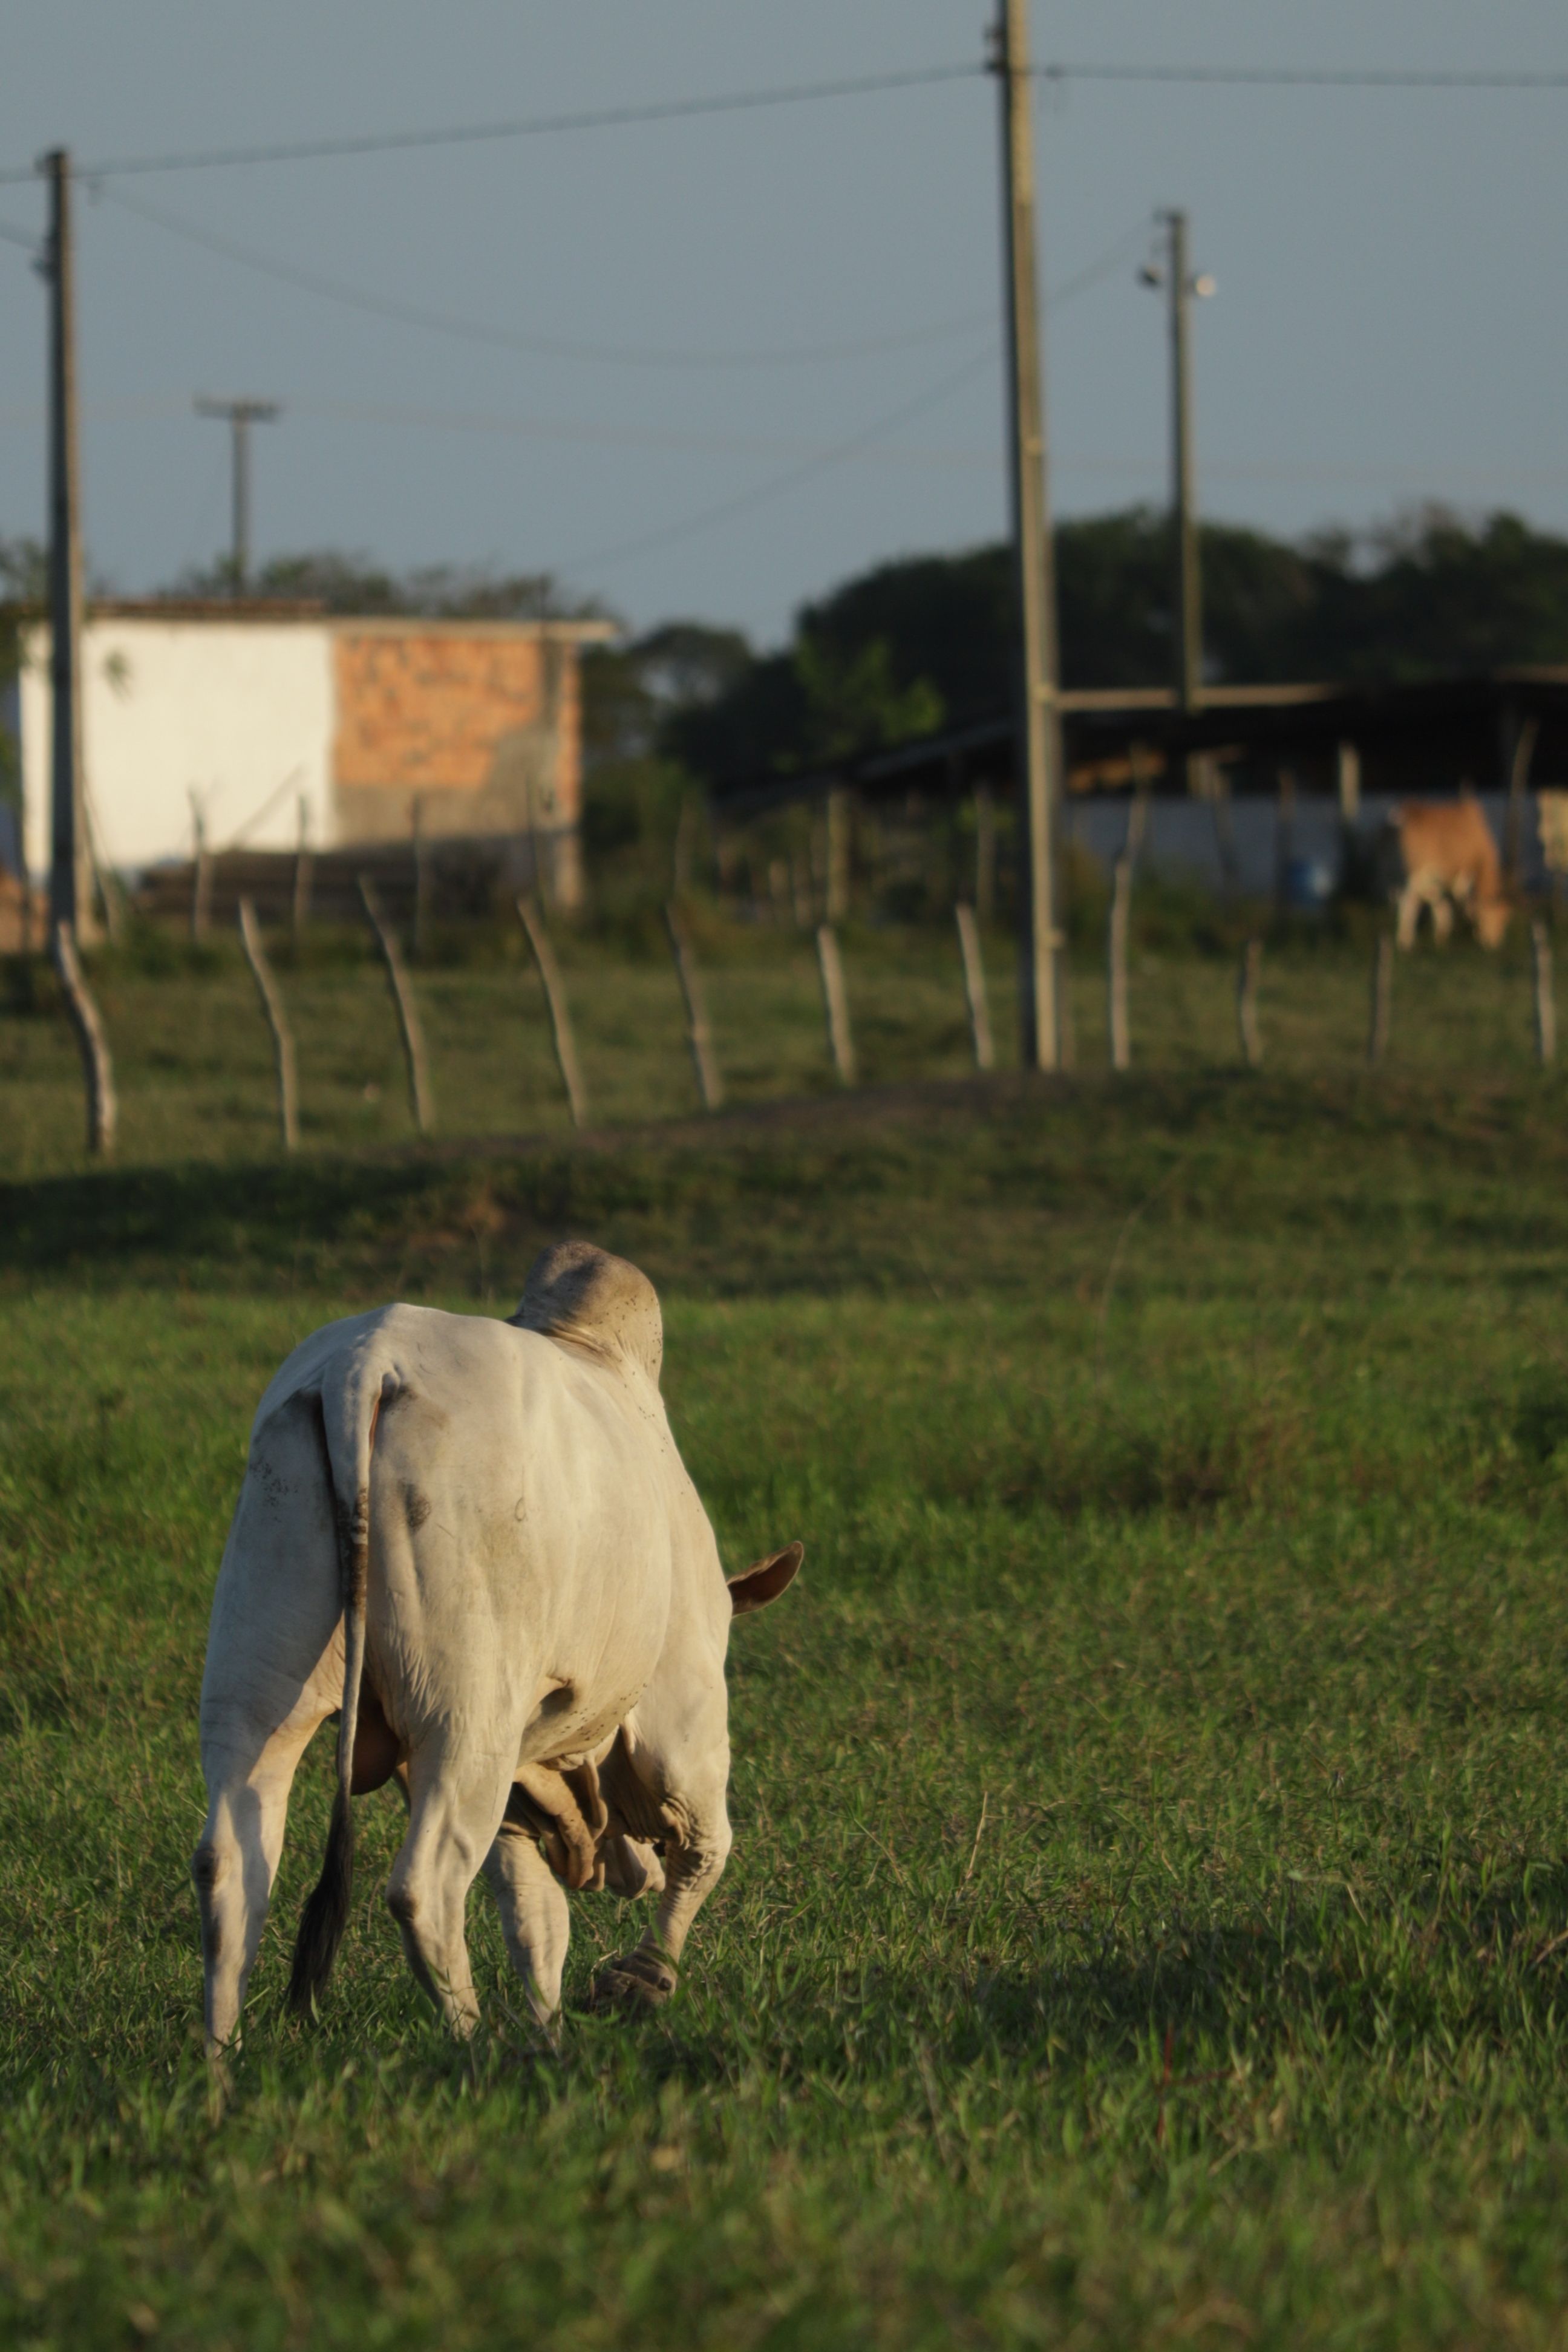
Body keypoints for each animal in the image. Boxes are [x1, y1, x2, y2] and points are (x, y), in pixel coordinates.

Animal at [192, 1240, 801, 2059]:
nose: (629, 1873)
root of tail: (363, 1365)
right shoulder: (684, 1729)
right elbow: (705, 1855)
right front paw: (639, 1982)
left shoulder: (518, 1790)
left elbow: (534, 1920)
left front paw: (552, 2032)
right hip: (464, 1714)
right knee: (423, 1888)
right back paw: (472, 2047)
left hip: (257, 1674)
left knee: (231, 1865)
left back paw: (218, 2062)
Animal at [1389, 794, 1511, 949]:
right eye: (1499, 919)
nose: (1495, 943)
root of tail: (1406, 812)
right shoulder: (1463, 870)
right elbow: (1458, 895)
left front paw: (1443, 932)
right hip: (1416, 871)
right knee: (1409, 899)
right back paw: (1405, 941)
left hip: (1400, 873)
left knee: (1404, 897)